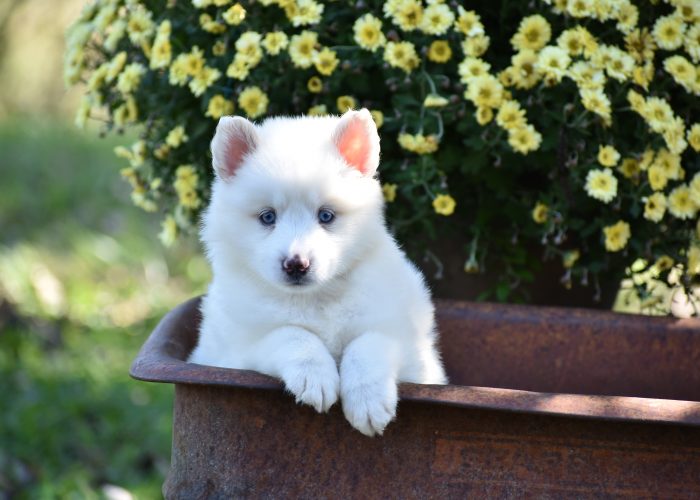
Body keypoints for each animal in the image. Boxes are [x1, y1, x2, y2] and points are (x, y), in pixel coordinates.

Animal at [189, 108, 446, 434]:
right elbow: (290, 334)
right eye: (268, 217)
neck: (315, 299)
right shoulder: (237, 352)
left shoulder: (408, 343)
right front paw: (315, 377)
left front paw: (368, 399)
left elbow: (368, 343)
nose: (296, 264)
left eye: (326, 216)